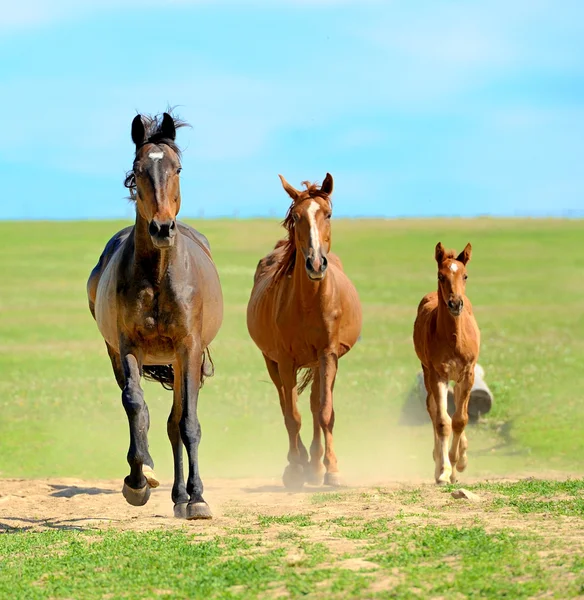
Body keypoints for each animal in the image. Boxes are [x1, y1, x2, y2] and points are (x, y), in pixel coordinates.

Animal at [86, 112, 224, 520]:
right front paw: (138, 478)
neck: (159, 275)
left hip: (181, 363)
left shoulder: (188, 349)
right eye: (138, 169)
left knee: (176, 422)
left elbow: (188, 423)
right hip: (119, 354)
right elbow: (135, 404)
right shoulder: (127, 346)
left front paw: (198, 498)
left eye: (177, 168)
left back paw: (184, 496)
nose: (162, 228)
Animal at [245, 173, 360, 488]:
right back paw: (300, 462)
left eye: (328, 214)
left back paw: (317, 465)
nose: (316, 263)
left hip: (321, 364)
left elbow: (324, 411)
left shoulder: (328, 355)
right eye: (296, 217)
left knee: (315, 403)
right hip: (272, 362)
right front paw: (296, 469)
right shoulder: (285, 361)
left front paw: (331, 469)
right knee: (286, 404)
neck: (309, 302)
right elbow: (292, 415)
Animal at [410, 241, 480, 486]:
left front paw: (458, 462)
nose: (455, 303)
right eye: (441, 276)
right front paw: (443, 470)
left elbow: (460, 419)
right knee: (432, 409)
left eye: (465, 275)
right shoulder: (437, 374)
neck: (454, 338)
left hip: (458, 378)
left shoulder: (468, 373)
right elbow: (443, 421)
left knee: (459, 405)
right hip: (428, 373)